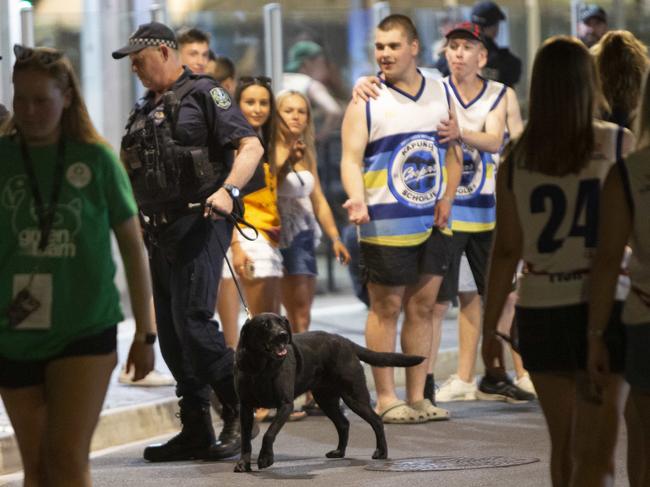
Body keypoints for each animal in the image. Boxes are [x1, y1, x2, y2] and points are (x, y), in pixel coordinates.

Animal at [233, 312, 426, 472]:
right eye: (264, 325)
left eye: (282, 322)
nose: (283, 335)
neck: (260, 368)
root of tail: (345, 341)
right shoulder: (245, 408)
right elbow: (245, 440)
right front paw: (243, 464)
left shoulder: (285, 405)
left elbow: (269, 433)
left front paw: (265, 459)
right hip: (325, 399)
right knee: (343, 423)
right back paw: (339, 452)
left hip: (354, 396)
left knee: (376, 420)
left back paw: (381, 452)